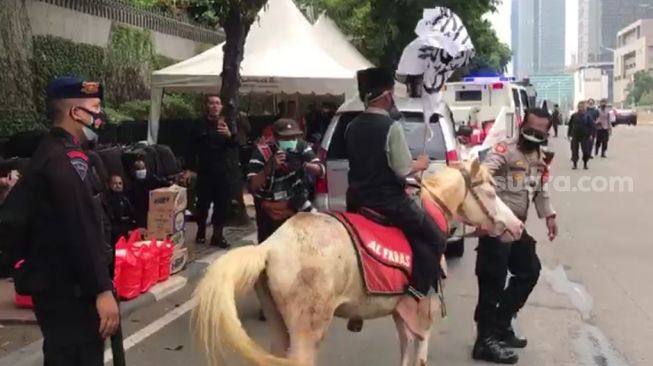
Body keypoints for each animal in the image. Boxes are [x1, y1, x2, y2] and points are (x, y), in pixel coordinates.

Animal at [191, 159, 524, 366]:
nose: (518, 226)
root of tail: (270, 247)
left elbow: (405, 353)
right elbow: (419, 356)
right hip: (306, 334)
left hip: (278, 327)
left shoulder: (401, 312)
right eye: (491, 192)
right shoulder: (423, 314)